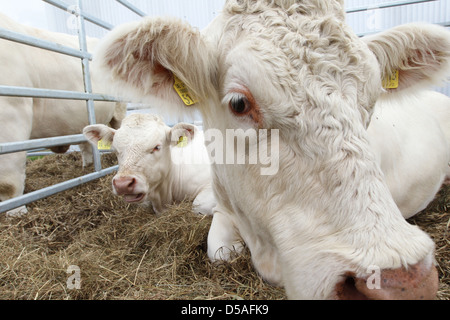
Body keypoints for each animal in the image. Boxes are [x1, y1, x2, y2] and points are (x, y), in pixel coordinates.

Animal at [0, 14, 125, 215]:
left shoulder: (12, 112)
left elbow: (8, 182)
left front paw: (16, 212)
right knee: (86, 146)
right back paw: (87, 167)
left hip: (119, 110)